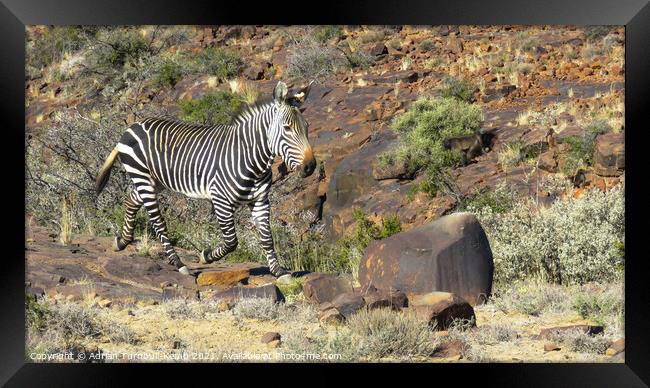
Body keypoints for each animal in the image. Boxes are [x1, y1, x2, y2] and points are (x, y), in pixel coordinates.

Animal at [96, 81, 316, 278]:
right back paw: (178, 264)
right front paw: (206, 256)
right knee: (158, 221)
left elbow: (267, 238)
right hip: (142, 176)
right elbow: (231, 241)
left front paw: (278, 272)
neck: (251, 160)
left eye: (306, 127)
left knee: (131, 199)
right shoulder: (221, 200)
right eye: (287, 128)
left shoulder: (260, 200)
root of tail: (133, 125)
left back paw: (122, 241)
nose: (311, 167)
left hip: (154, 180)